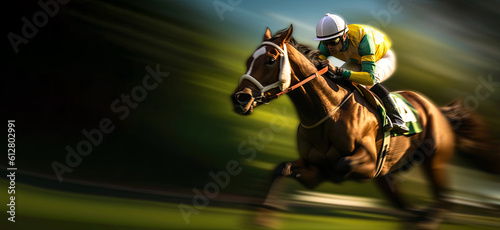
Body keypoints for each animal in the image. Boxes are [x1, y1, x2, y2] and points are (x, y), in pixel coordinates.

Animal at [231, 24, 496, 228]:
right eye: (249, 60)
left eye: (270, 60)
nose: (239, 99)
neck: (327, 112)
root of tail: (437, 110)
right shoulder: (312, 167)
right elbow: (281, 169)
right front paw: (264, 218)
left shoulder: (368, 163)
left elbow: (342, 163)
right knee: (405, 203)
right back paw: (416, 217)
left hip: (435, 160)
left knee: (444, 199)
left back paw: (426, 220)